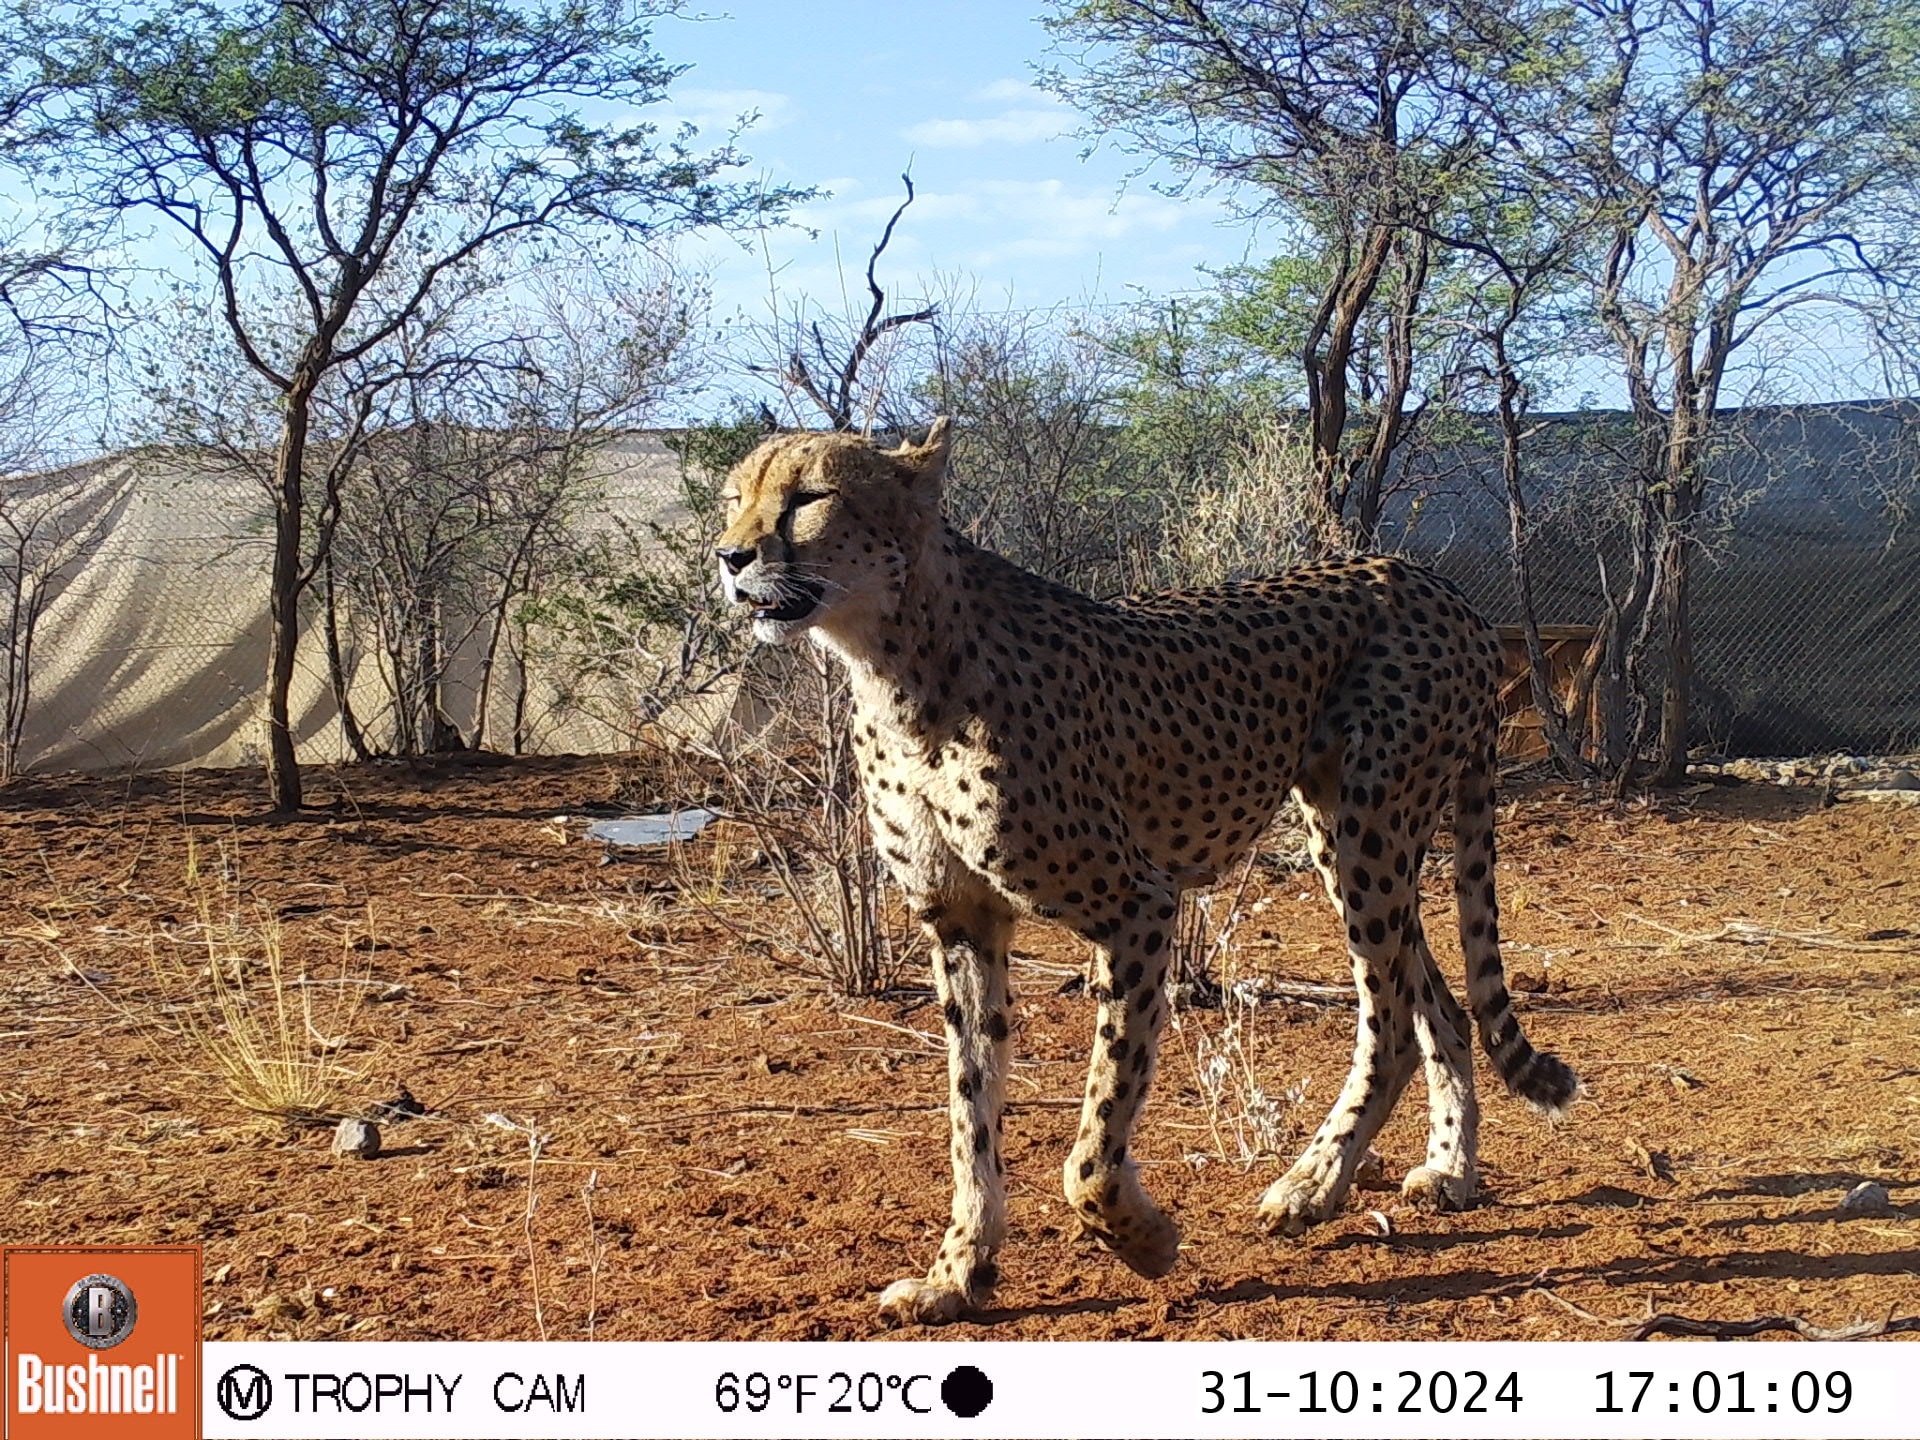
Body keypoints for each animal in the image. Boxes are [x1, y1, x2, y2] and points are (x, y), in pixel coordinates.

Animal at [713, 419, 1579, 1326]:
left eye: (810, 497)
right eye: (734, 499)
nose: (730, 557)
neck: (896, 656)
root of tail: (1441, 588)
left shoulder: (1138, 903)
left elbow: (1093, 1138)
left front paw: (1142, 1240)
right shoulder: (961, 923)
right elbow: (970, 1110)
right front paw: (958, 1270)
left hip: (1366, 833)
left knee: (1392, 1019)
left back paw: (1311, 1186)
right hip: (1350, 834)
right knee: (1438, 1003)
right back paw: (1448, 1171)